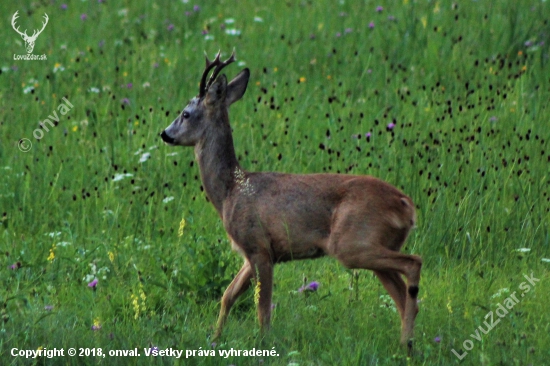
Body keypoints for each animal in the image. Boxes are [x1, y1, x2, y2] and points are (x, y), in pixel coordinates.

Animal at [162, 51, 424, 348]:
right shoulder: (250, 254)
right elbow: (227, 295)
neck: (231, 191)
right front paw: (215, 339)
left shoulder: (258, 246)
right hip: (375, 245)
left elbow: (262, 309)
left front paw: (263, 343)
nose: (165, 133)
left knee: (413, 264)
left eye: (185, 114)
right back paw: (406, 346)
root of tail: (405, 205)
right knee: (405, 297)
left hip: (352, 242)